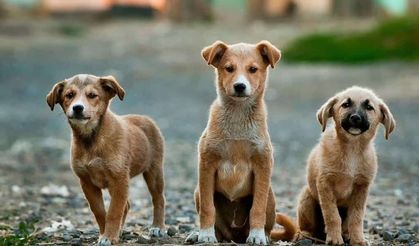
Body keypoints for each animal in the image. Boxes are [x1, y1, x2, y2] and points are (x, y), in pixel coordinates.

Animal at [46, 74, 167, 245]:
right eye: (69, 95)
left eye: (92, 95)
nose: (77, 108)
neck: (91, 139)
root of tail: (145, 118)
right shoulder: (87, 182)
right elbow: (100, 211)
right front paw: (106, 234)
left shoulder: (119, 179)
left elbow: (114, 211)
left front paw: (109, 236)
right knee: (127, 205)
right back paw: (121, 231)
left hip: (154, 171)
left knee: (158, 199)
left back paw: (158, 227)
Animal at [194, 40, 282, 244]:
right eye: (229, 68)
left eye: (253, 69)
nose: (240, 86)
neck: (238, 117)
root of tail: (234, 235)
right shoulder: (206, 164)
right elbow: (207, 208)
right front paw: (205, 234)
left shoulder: (263, 164)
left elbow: (257, 208)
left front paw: (257, 236)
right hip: (197, 192)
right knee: (218, 228)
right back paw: (199, 234)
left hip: (270, 195)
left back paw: (263, 235)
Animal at [272, 86, 398, 244]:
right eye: (346, 104)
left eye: (369, 107)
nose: (355, 118)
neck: (352, 150)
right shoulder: (325, 184)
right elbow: (332, 215)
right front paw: (334, 239)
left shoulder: (362, 187)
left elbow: (356, 218)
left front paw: (358, 239)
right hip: (307, 198)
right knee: (305, 227)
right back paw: (305, 235)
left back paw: (346, 235)